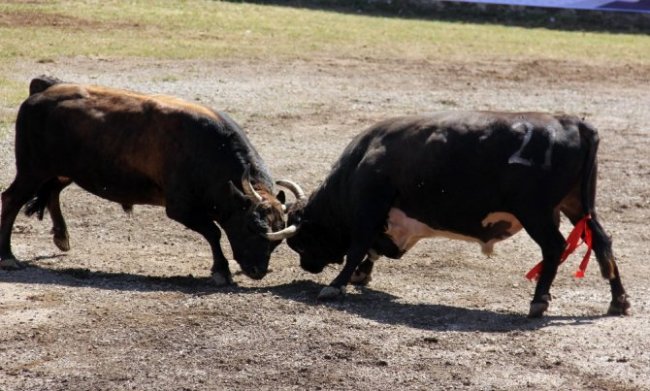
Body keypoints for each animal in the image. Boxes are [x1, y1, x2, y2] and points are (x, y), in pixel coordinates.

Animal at [0, 76, 288, 284]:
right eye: (251, 227)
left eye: (278, 240)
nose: (257, 270)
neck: (206, 150)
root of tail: (44, 89)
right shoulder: (181, 208)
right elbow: (213, 232)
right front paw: (221, 270)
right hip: (32, 170)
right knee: (11, 199)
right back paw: (8, 257)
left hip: (62, 171)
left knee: (52, 192)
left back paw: (61, 236)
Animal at [278, 111, 628, 318]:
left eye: (301, 241)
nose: (307, 266)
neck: (362, 159)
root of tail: (574, 123)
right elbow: (372, 249)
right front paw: (362, 274)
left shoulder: (369, 207)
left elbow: (357, 247)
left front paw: (336, 284)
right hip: (577, 205)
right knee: (602, 241)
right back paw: (618, 300)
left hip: (537, 213)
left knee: (554, 247)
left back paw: (539, 301)